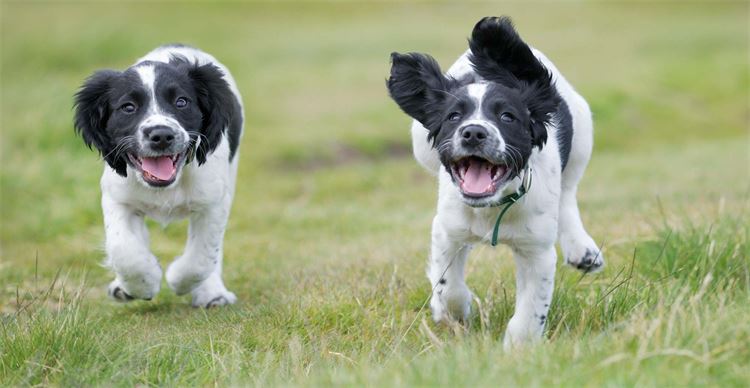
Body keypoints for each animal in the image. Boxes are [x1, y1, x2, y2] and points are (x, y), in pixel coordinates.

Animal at [74, 44, 244, 306]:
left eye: (181, 102)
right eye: (128, 107)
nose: (161, 135)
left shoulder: (213, 201)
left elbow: (201, 257)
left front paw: (178, 279)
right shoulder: (117, 198)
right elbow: (124, 249)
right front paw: (143, 283)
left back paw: (212, 292)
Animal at [388, 16, 604, 348]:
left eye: (507, 117)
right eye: (453, 117)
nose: (474, 132)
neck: (492, 206)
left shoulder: (536, 250)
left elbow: (531, 310)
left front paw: (519, 349)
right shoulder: (447, 228)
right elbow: (447, 283)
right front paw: (452, 312)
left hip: (582, 133)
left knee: (568, 192)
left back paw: (583, 249)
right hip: (420, 146)